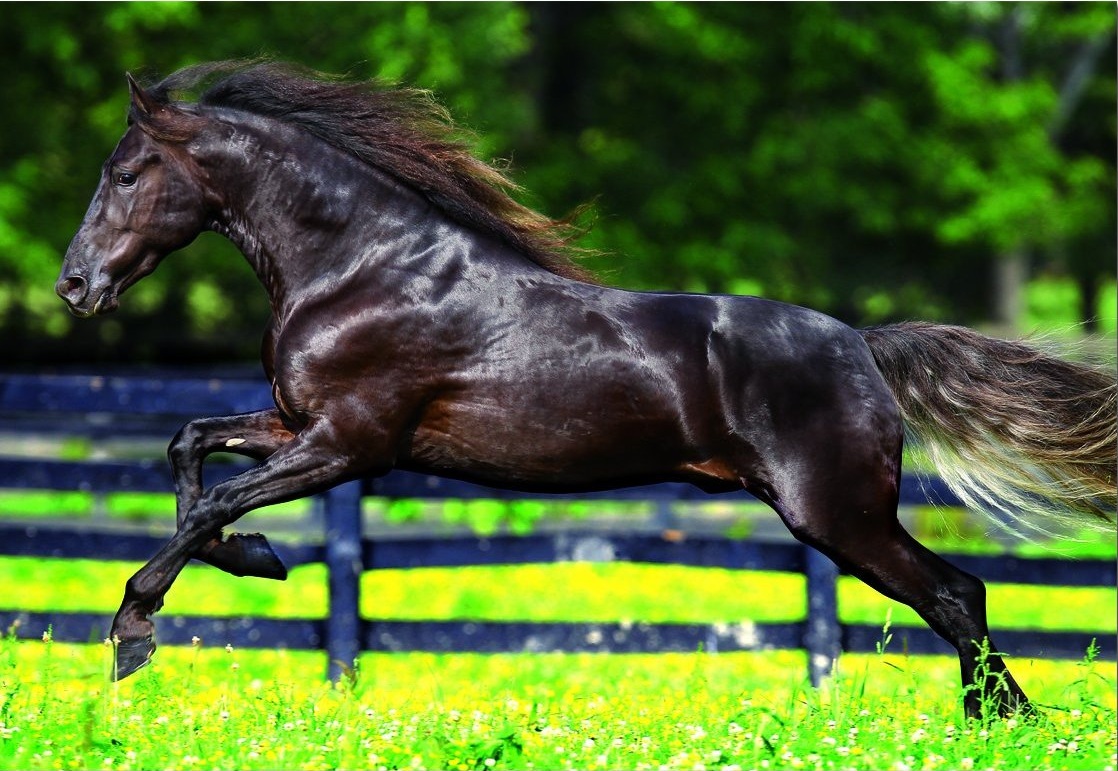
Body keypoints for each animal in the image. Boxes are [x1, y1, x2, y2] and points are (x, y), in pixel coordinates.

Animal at [57, 60, 1115, 719]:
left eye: (126, 171)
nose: (74, 286)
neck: (361, 268)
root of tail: (860, 342)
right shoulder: (297, 422)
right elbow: (190, 448)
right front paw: (257, 558)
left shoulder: (350, 441)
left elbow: (211, 501)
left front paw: (133, 632)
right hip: (843, 515)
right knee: (958, 593)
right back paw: (997, 721)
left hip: (838, 513)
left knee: (956, 591)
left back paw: (1002, 723)